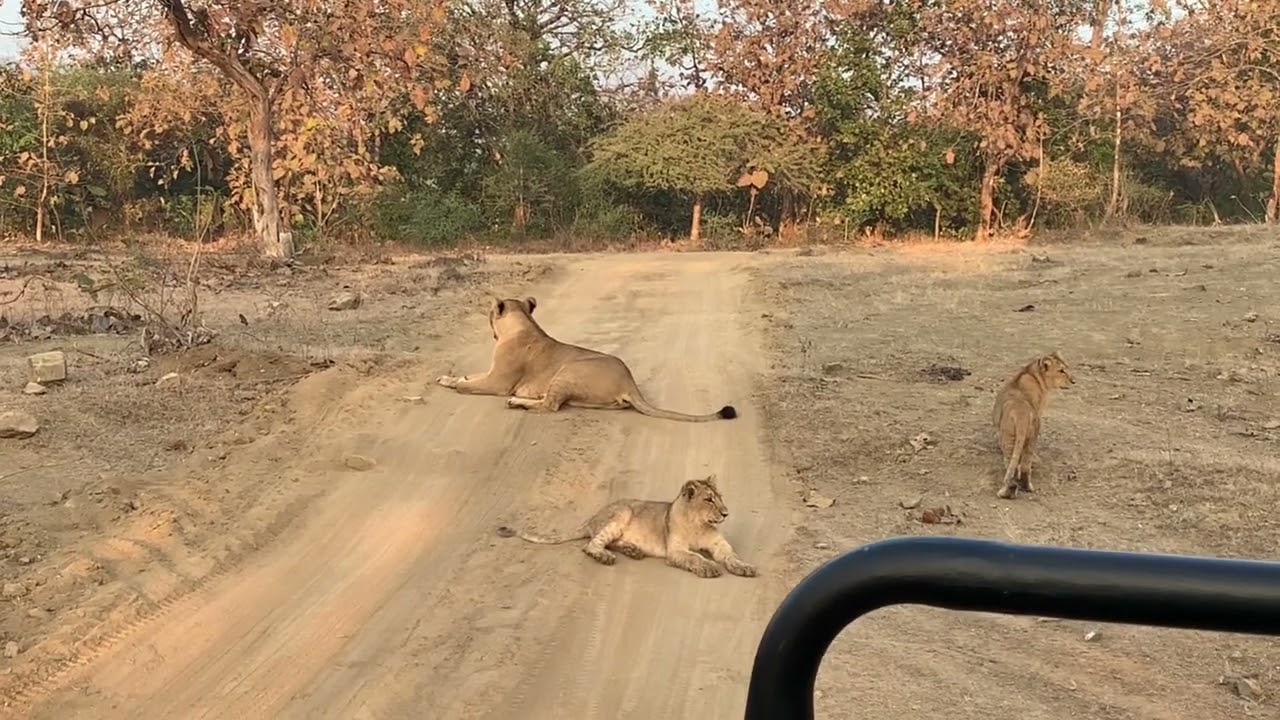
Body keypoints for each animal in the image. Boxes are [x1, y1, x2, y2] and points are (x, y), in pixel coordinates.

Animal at [435, 296, 738, 422]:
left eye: (489, 315)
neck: (522, 324)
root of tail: (629, 384)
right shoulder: (491, 373)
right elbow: (469, 375)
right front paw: (448, 377)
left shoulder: (498, 382)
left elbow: (469, 385)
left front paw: (456, 384)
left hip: (568, 370)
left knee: (550, 406)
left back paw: (516, 403)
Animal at [495, 475, 758, 579]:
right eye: (709, 499)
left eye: (720, 497)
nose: (726, 513)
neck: (699, 524)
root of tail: (592, 517)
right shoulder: (675, 551)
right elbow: (696, 557)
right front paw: (710, 568)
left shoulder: (719, 545)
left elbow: (732, 556)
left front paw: (745, 567)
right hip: (622, 513)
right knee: (591, 545)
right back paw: (606, 557)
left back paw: (633, 551)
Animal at [993, 351, 1076, 500]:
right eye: (1061, 371)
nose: (1073, 381)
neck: (1033, 373)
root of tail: (1021, 414)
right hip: (1027, 434)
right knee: (1021, 465)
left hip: (1018, 437)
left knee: (1019, 465)